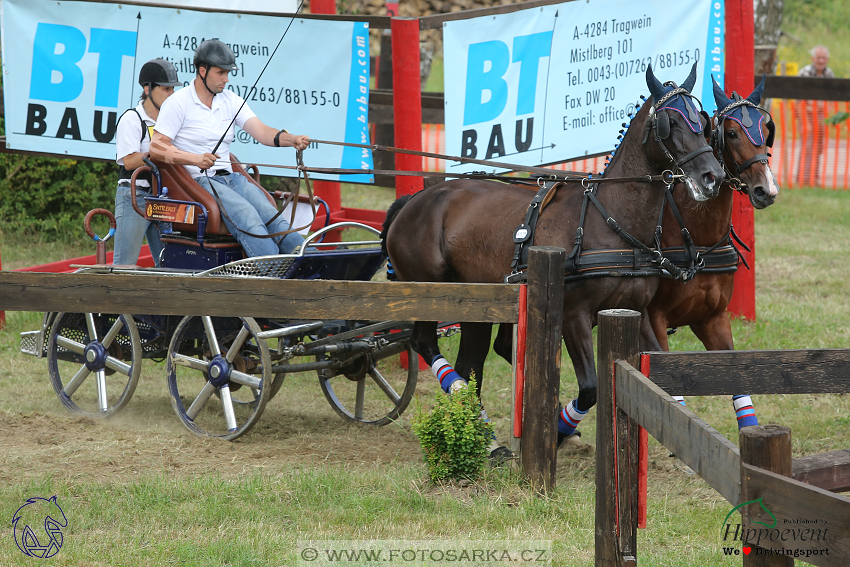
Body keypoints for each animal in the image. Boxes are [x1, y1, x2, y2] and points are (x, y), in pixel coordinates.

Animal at [384, 63, 724, 452]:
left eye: (702, 121)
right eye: (671, 122)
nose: (712, 176)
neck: (610, 219)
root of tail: (413, 201)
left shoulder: (634, 312)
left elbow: (656, 379)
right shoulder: (573, 316)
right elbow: (590, 388)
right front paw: (560, 431)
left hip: (477, 303)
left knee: (472, 361)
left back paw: (485, 435)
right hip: (429, 290)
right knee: (426, 343)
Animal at [644, 76, 780, 430]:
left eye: (766, 129)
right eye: (730, 133)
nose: (767, 190)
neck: (698, 239)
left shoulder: (713, 319)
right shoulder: (652, 319)